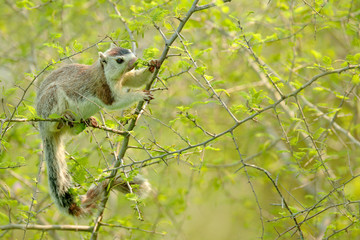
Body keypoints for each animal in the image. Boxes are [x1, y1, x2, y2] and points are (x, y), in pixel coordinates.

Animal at [36, 43, 160, 218]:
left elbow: (135, 79)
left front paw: (152, 64)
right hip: (51, 101)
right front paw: (140, 95)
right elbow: (117, 102)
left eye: (130, 52)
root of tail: (45, 133)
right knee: (53, 121)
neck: (108, 75)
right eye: (119, 60)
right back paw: (63, 118)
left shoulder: (125, 78)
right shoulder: (104, 90)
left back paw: (88, 121)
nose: (135, 61)